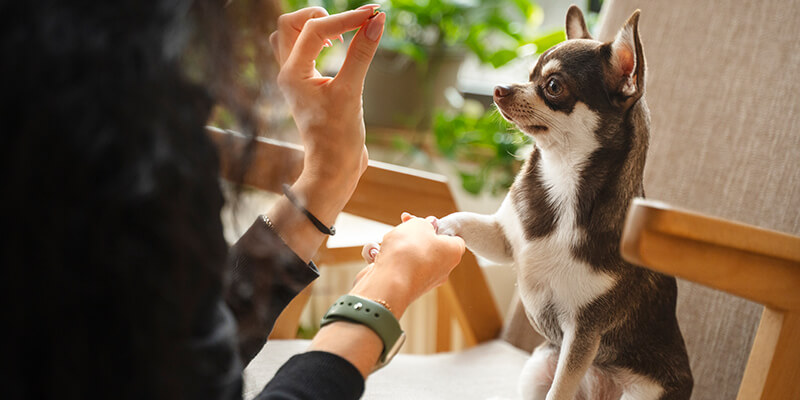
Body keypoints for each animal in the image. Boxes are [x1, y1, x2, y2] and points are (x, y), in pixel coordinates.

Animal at [434, 6, 692, 400]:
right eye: (529, 75)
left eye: (553, 86)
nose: (499, 88)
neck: (563, 179)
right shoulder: (504, 240)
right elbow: (465, 219)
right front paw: (437, 226)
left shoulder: (583, 333)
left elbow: (560, 388)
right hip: (538, 366)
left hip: (642, 391)